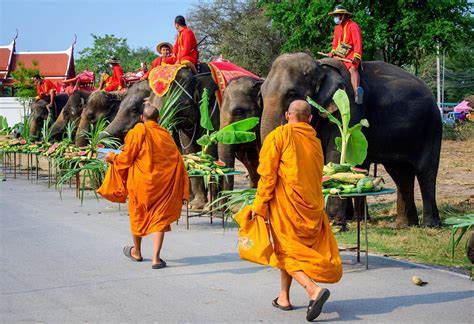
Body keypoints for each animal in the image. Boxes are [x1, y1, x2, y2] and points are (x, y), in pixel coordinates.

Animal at [102, 65, 220, 210]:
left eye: (134, 109)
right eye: (148, 102)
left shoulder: (211, 111)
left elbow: (209, 148)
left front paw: (204, 206)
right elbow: (189, 151)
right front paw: (194, 205)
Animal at [260, 52, 440, 228]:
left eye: (291, 94)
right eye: (261, 93)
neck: (320, 66)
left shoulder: (348, 109)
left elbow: (336, 154)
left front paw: (335, 223)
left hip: (431, 126)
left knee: (426, 171)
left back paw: (430, 225)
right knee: (401, 174)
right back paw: (404, 225)